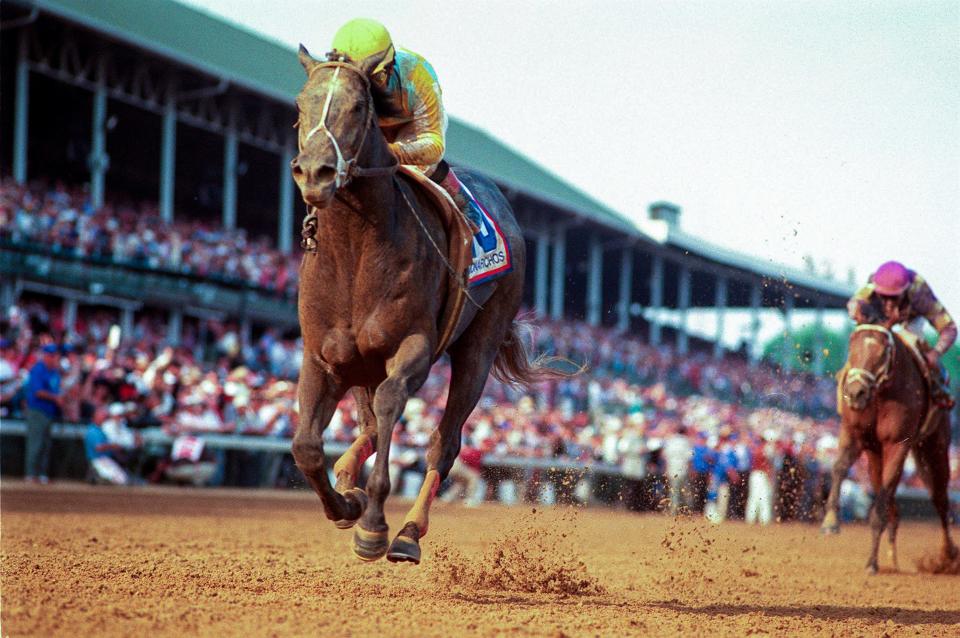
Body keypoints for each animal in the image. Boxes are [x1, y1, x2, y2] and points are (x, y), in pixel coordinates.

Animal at [288, 48, 556, 564]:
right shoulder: (323, 356)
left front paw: (373, 524)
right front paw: (345, 505)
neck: (355, 254)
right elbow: (307, 446)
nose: (315, 173)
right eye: (299, 103)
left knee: (442, 443)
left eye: (358, 107)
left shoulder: (413, 347)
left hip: (479, 346)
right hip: (361, 365)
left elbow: (394, 404)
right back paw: (348, 479)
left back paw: (409, 532)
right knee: (368, 426)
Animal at [820, 324, 956, 576]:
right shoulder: (854, 434)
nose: (856, 392)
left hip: (935, 447)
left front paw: (871, 563)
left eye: (883, 352)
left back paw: (948, 555)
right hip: (876, 456)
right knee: (890, 496)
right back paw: (893, 556)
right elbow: (840, 468)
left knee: (940, 499)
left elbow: (882, 500)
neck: (880, 394)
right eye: (852, 346)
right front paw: (830, 522)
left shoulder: (897, 444)